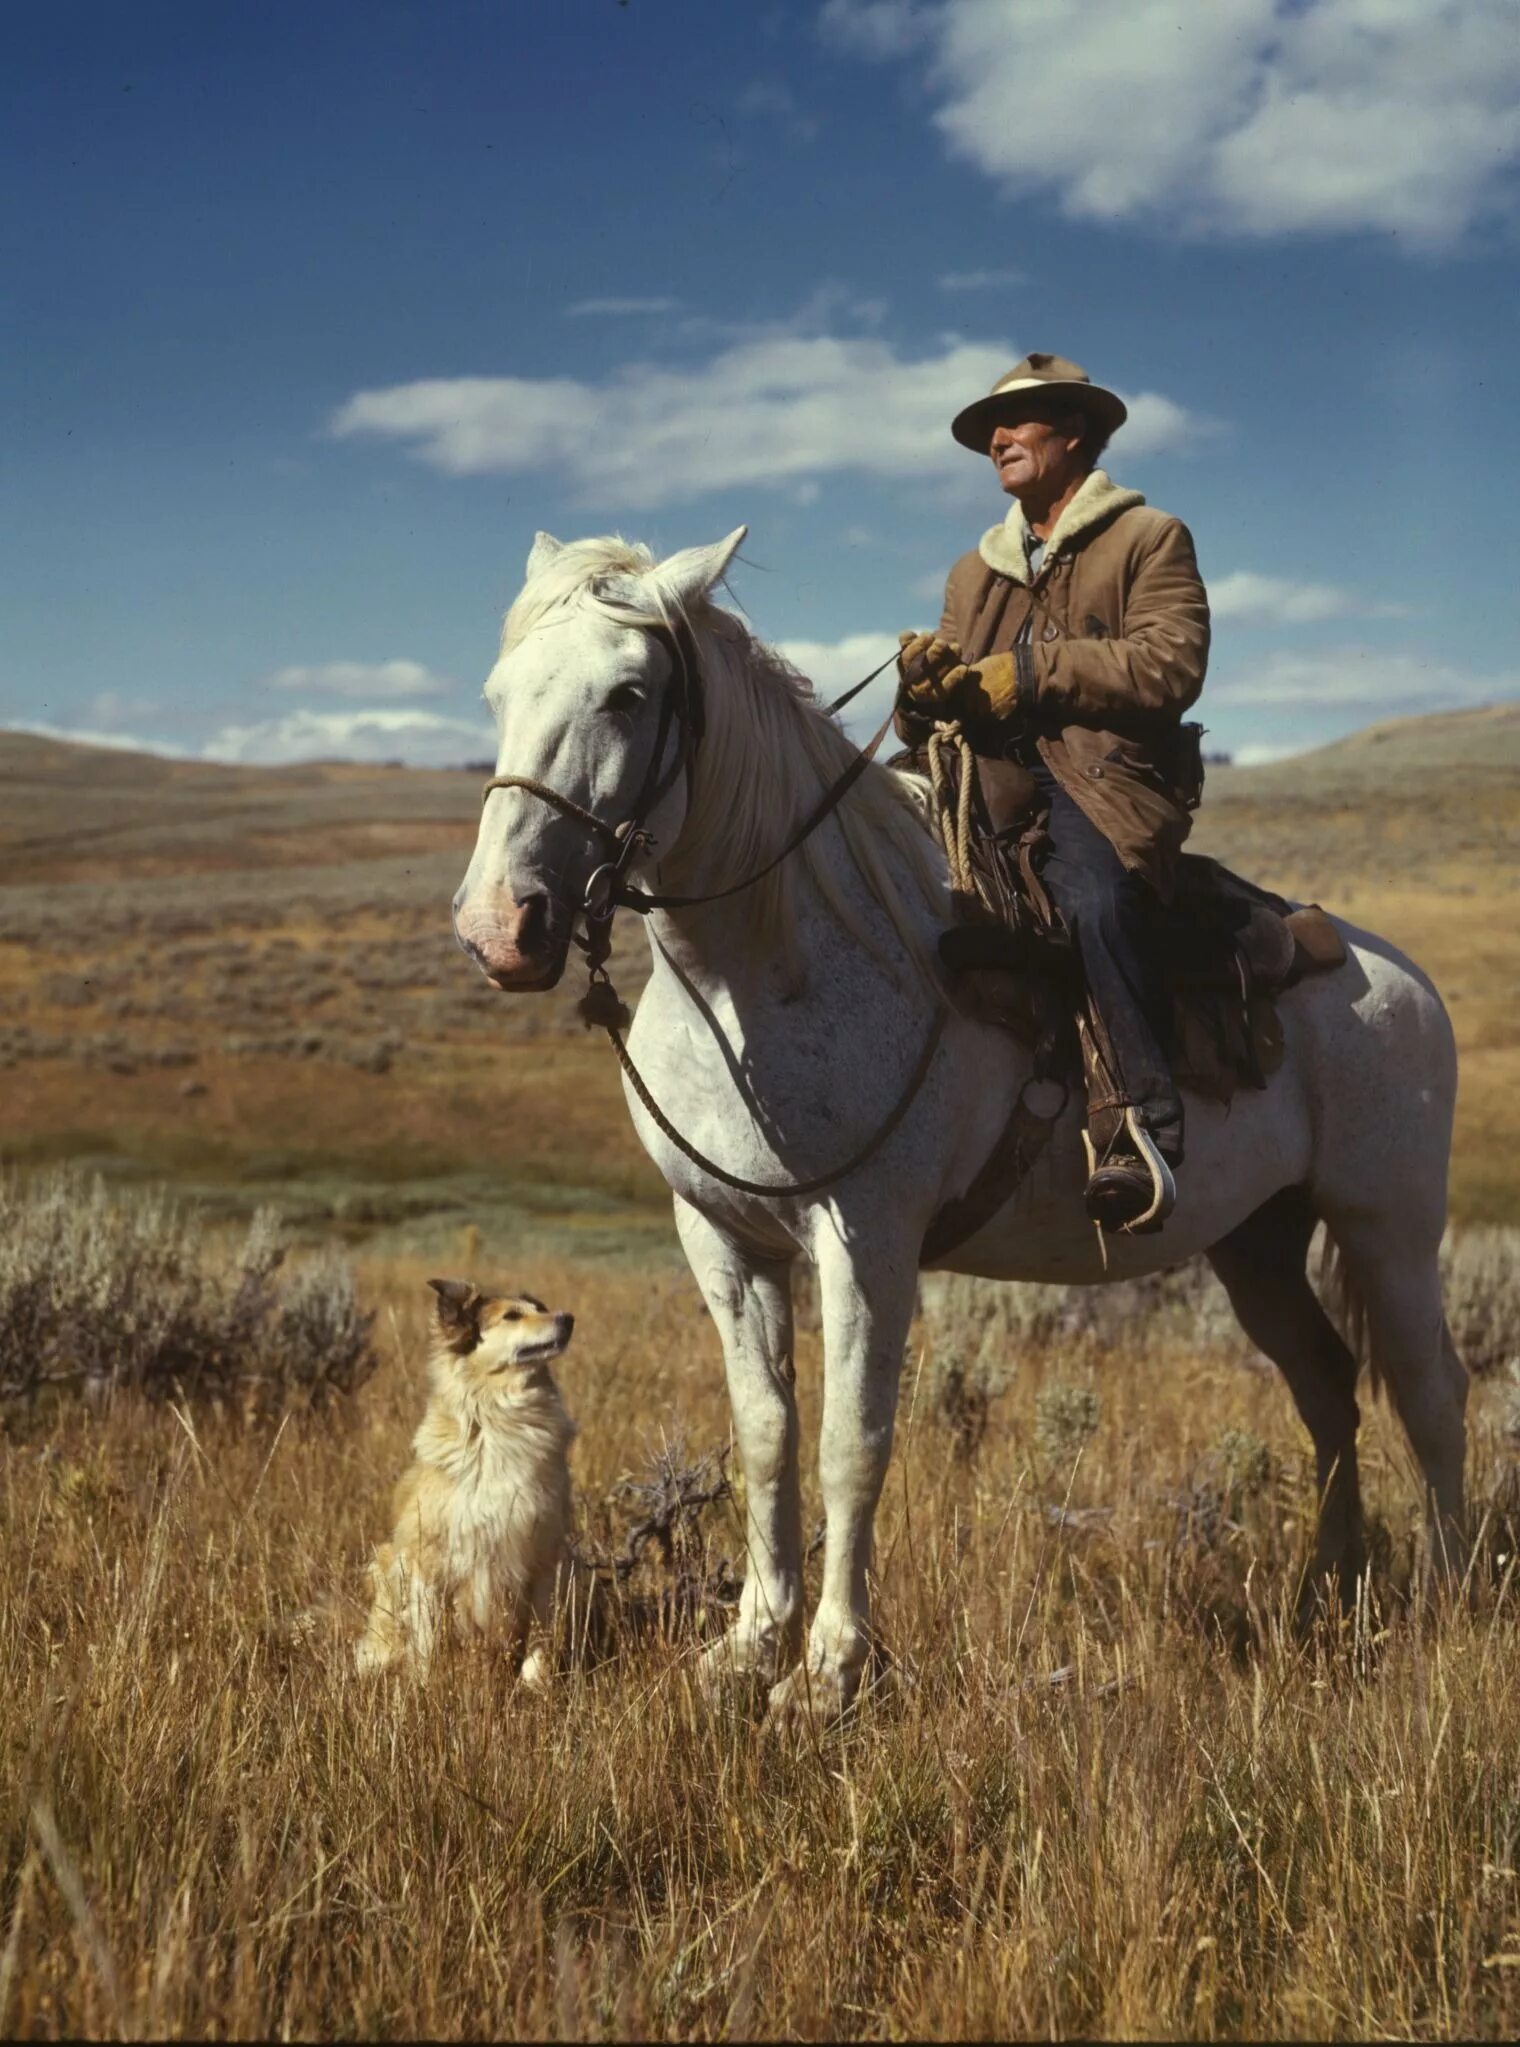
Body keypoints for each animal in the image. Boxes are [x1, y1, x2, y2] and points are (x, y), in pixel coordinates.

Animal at [353, 1277, 580, 1678]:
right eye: (512, 1316)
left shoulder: (544, 1554)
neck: (499, 1419)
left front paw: (535, 1685)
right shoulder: (428, 1559)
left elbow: (540, 1639)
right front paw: (425, 1687)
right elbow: (427, 1643)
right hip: (386, 1563)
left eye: (541, 1308)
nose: (567, 1318)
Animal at [458, 524, 1464, 1727]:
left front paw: (827, 1671)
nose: (501, 927)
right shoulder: (720, 1237)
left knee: (1431, 1394)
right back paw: (1327, 1596)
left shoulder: (868, 1238)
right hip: (1256, 1241)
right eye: (496, 692)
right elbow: (766, 1435)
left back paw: (1451, 1597)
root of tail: (1397, 974)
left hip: (1387, 1226)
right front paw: (745, 1647)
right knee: (1326, 1389)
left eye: (628, 692)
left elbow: (851, 1442)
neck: (778, 961)